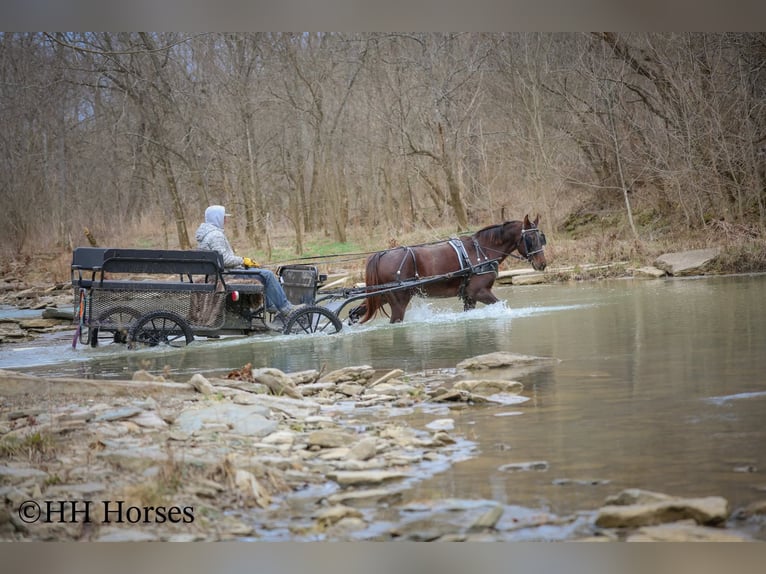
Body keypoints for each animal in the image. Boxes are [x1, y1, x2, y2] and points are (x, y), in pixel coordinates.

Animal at [358, 214, 547, 324]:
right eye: (530, 238)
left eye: (541, 238)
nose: (542, 263)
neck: (482, 251)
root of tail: (381, 254)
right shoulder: (479, 292)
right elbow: (501, 306)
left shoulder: (469, 297)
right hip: (398, 301)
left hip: (381, 296)